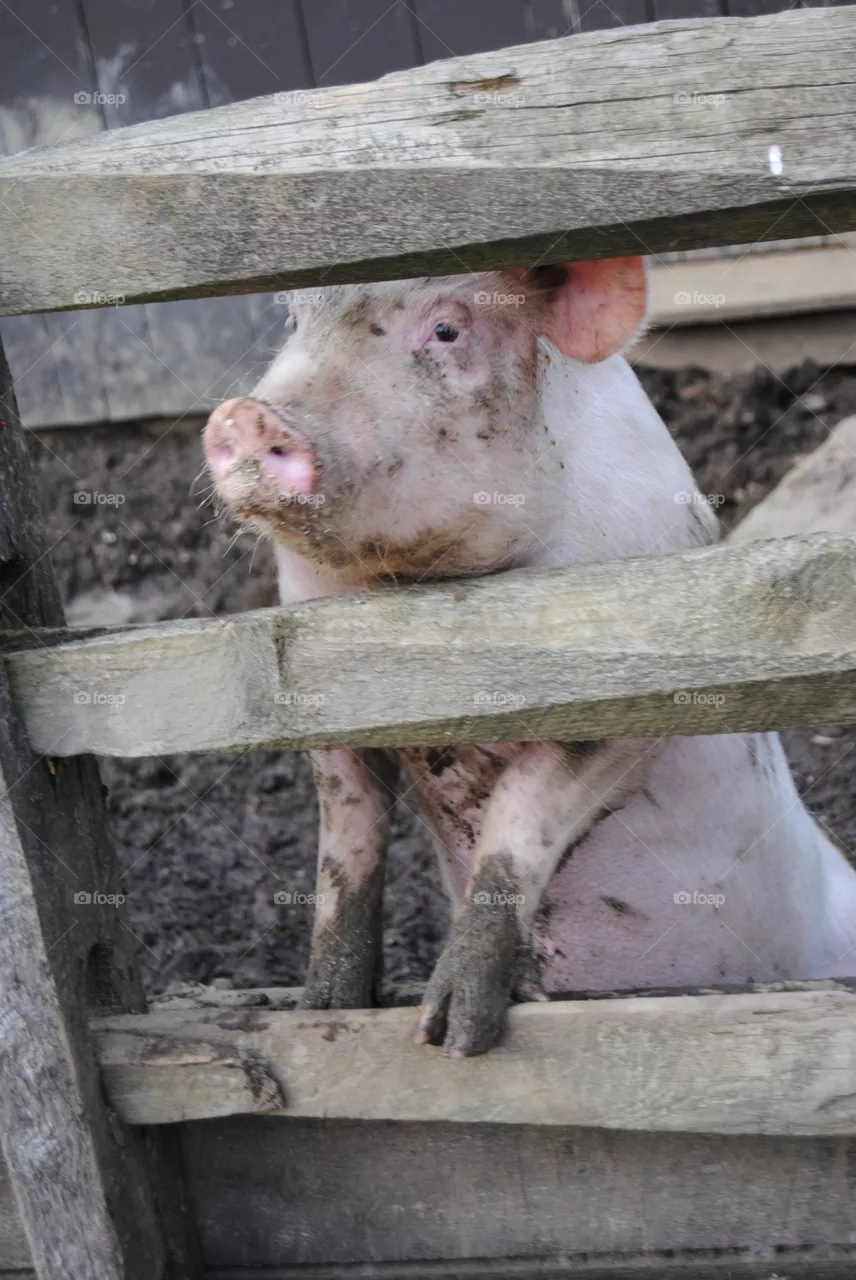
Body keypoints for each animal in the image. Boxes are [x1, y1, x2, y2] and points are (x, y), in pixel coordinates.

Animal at [203, 257, 856, 1058]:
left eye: (447, 330)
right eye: (295, 321)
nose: (248, 415)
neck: (425, 590)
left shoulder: (635, 691)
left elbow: (521, 817)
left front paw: (451, 1037)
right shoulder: (322, 706)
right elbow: (347, 845)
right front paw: (322, 1012)